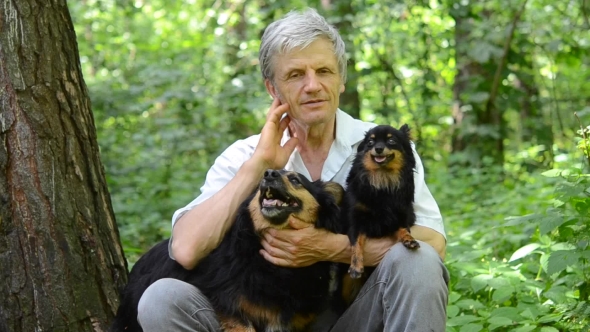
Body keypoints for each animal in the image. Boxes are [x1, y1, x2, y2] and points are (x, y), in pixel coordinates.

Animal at [344, 123, 424, 278]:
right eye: (370, 142)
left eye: (391, 141)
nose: (378, 148)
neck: (382, 178)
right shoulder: (356, 221)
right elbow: (356, 244)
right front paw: (355, 266)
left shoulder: (400, 215)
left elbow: (404, 229)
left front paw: (409, 240)